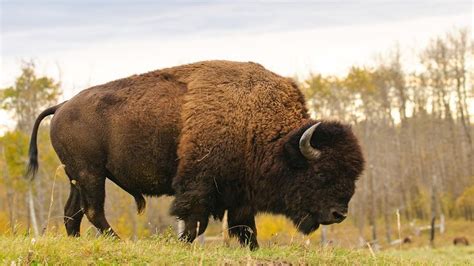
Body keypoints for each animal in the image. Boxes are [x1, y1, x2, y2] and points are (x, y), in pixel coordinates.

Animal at [27, 60, 364, 249]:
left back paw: (78, 241)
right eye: (321, 173)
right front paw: (184, 244)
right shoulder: (200, 184)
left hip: (77, 176)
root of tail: (63, 105)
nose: (339, 214)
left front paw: (254, 248)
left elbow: (244, 226)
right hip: (91, 174)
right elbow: (194, 219)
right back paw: (117, 241)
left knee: (73, 211)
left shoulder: (239, 193)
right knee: (93, 210)